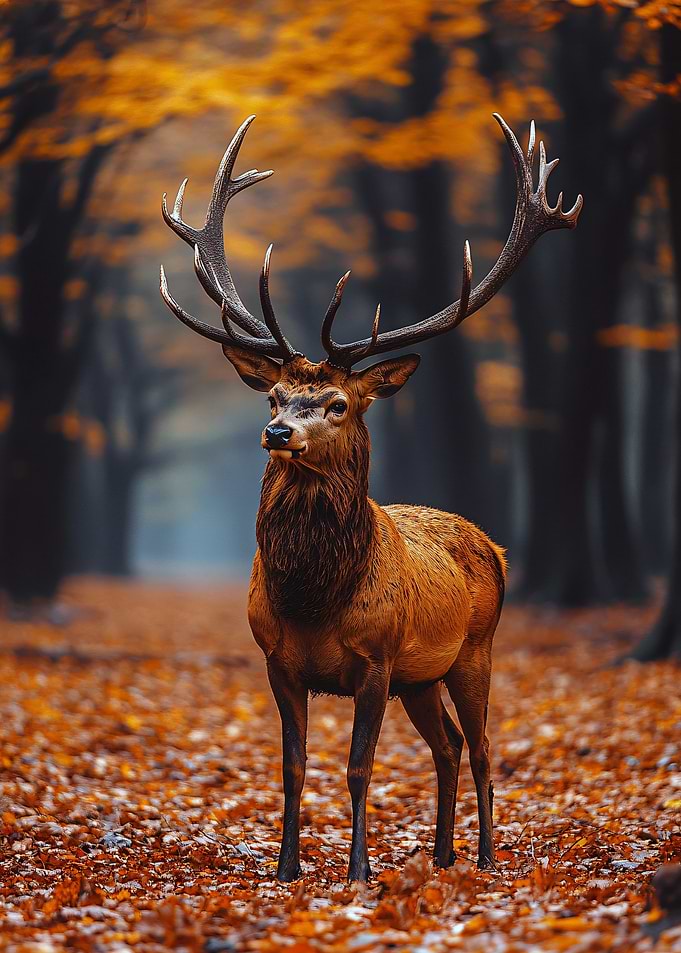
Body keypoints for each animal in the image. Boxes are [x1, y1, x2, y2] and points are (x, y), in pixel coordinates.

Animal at [160, 114, 582, 883]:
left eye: (336, 403)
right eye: (273, 394)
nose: (276, 432)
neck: (314, 596)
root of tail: (496, 545)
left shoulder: (377, 661)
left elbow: (360, 767)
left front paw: (357, 870)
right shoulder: (278, 660)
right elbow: (293, 767)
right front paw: (286, 867)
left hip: (473, 650)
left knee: (481, 746)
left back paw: (483, 855)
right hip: (423, 677)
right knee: (447, 746)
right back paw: (441, 853)